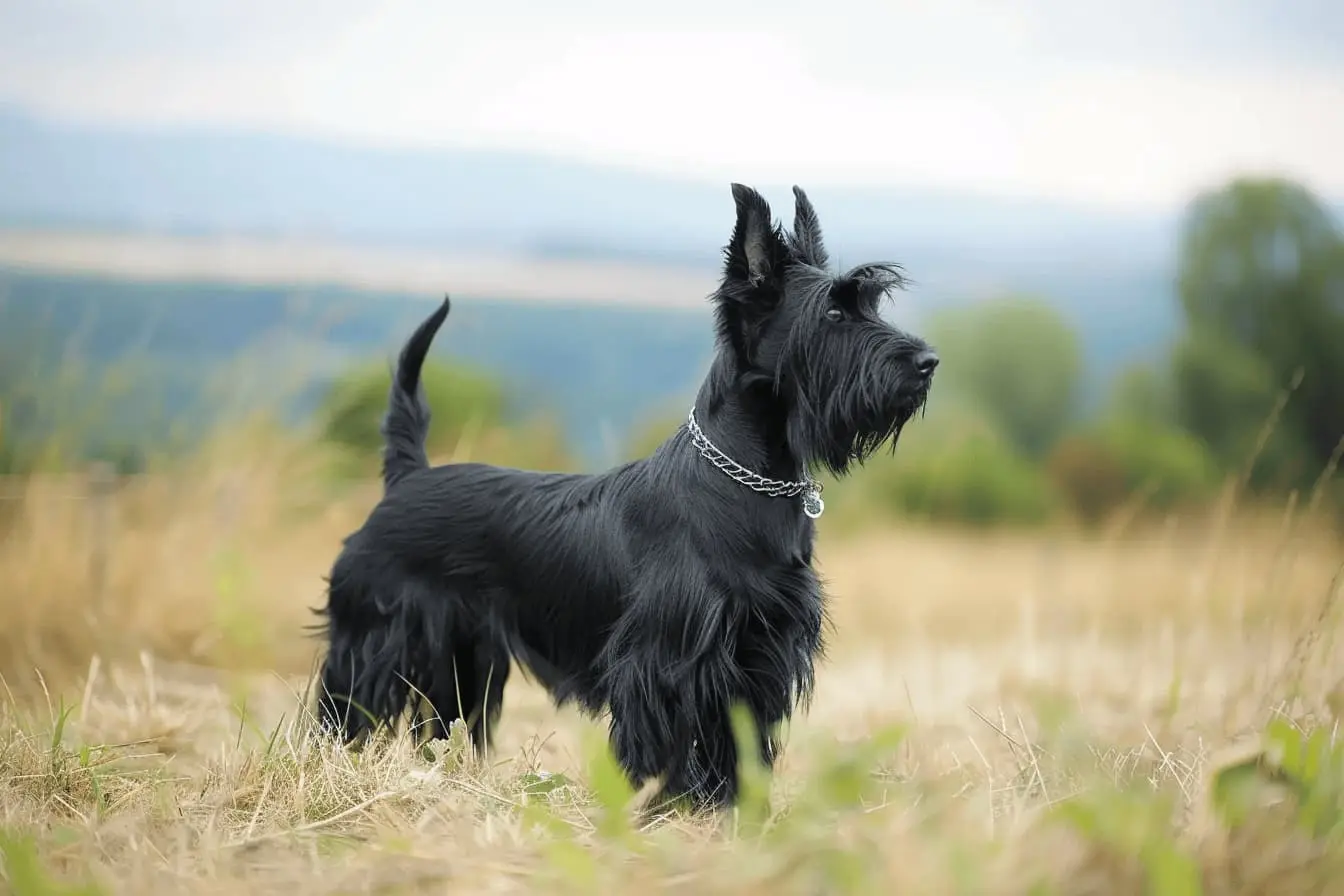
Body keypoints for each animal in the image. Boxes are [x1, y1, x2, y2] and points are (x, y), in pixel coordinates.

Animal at [313, 184, 935, 811]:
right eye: (832, 312)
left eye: (872, 305)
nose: (928, 362)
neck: (749, 480)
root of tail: (407, 478)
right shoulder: (666, 664)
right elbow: (664, 747)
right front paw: (660, 809)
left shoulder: (757, 659)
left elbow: (738, 746)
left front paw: (731, 812)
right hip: (376, 642)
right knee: (342, 713)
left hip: (464, 660)